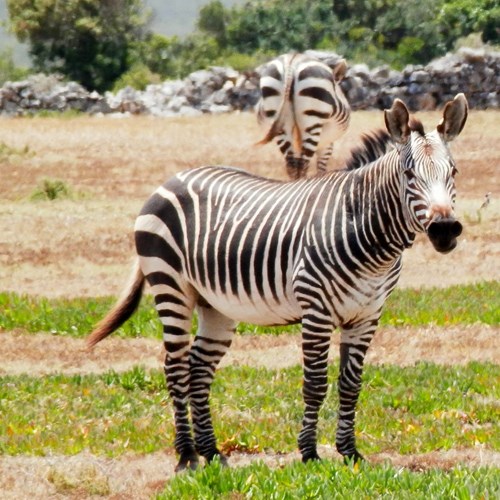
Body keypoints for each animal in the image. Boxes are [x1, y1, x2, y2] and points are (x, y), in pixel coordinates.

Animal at [88, 94, 466, 472]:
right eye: (409, 174)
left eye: (453, 172)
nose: (445, 230)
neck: (362, 226)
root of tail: (172, 179)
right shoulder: (316, 309)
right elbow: (315, 383)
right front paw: (310, 453)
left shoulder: (367, 314)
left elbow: (351, 383)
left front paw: (350, 453)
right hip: (171, 287)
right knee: (176, 367)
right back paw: (187, 456)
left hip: (216, 305)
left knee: (198, 368)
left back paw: (212, 452)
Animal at [256, 50, 350, 179]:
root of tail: (292, 61)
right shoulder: (326, 145)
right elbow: (321, 169)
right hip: (313, 118)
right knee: (303, 164)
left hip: (278, 118)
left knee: (291, 164)